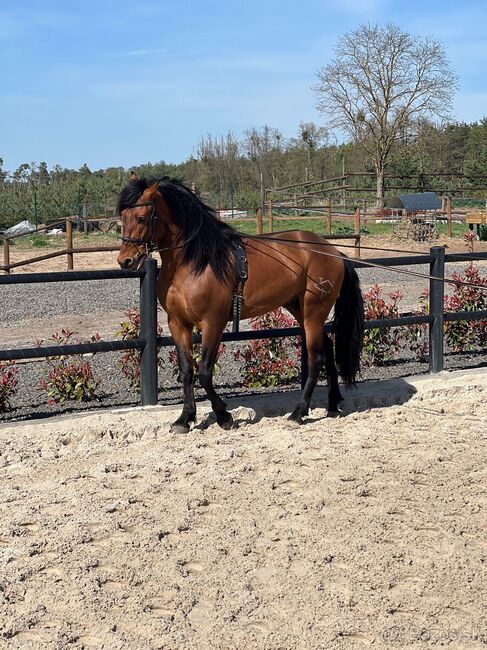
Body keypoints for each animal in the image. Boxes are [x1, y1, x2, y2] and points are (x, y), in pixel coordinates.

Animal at [116, 175, 364, 432]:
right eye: (122, 217)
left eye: (141, 217)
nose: (125, 260)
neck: (195, 263)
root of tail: (333, 252)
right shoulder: (178, 323)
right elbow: (187, 371)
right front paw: (184, 419)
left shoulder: (212, 323)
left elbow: (205, 372)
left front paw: (224, 416)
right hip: (300, 310)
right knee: (327, 350)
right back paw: (332, 405)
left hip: (314, 311)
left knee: (316, 359)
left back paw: (298, 413)